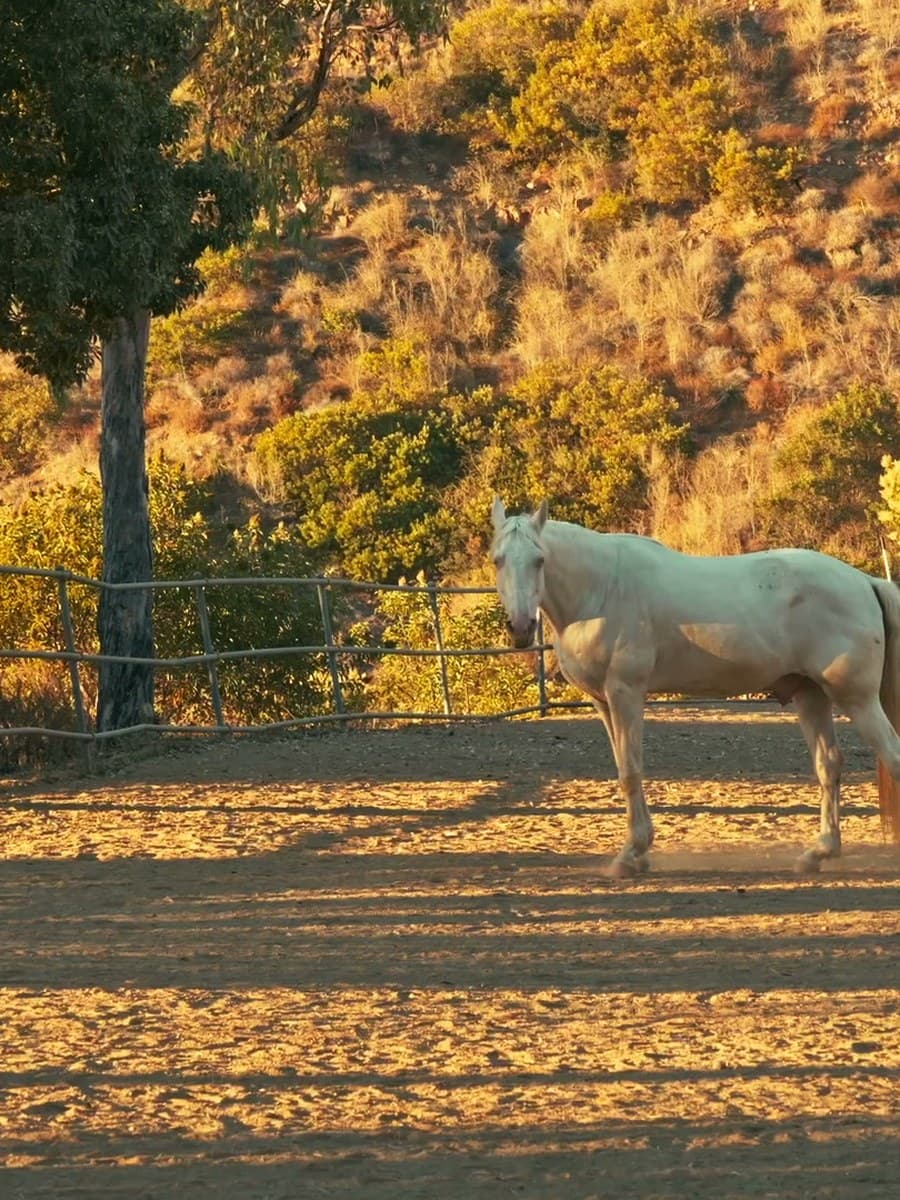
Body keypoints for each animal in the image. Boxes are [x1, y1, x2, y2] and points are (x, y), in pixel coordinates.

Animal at [490, 497, 900, 876]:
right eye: (498, 560)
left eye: (539, 560)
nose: (521, 627)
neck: (602, 589)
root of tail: (864, 581)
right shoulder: (603, 702)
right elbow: (624, 767)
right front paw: (638, 854)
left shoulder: (626, 693)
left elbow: (631, 770)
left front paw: (631, 855)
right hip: (810, 695)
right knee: (828, 765)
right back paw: (818, 853)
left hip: (857, 699)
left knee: (890, 756)